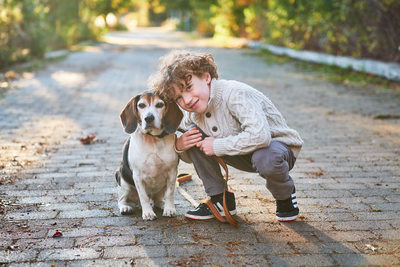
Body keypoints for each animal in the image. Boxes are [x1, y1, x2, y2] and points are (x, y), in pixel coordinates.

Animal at [115, 91, 184, 221]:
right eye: (141, 105)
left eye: (159, 105)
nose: (148, 118)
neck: (153, 139)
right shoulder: (137, 175)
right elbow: (143, 196)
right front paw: (148, 213)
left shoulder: (172, 172)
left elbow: (170, 193)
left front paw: (169, 209)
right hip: (122, 179)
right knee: (121, 200)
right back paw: (125, 207)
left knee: (157, 200)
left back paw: (162, 204)